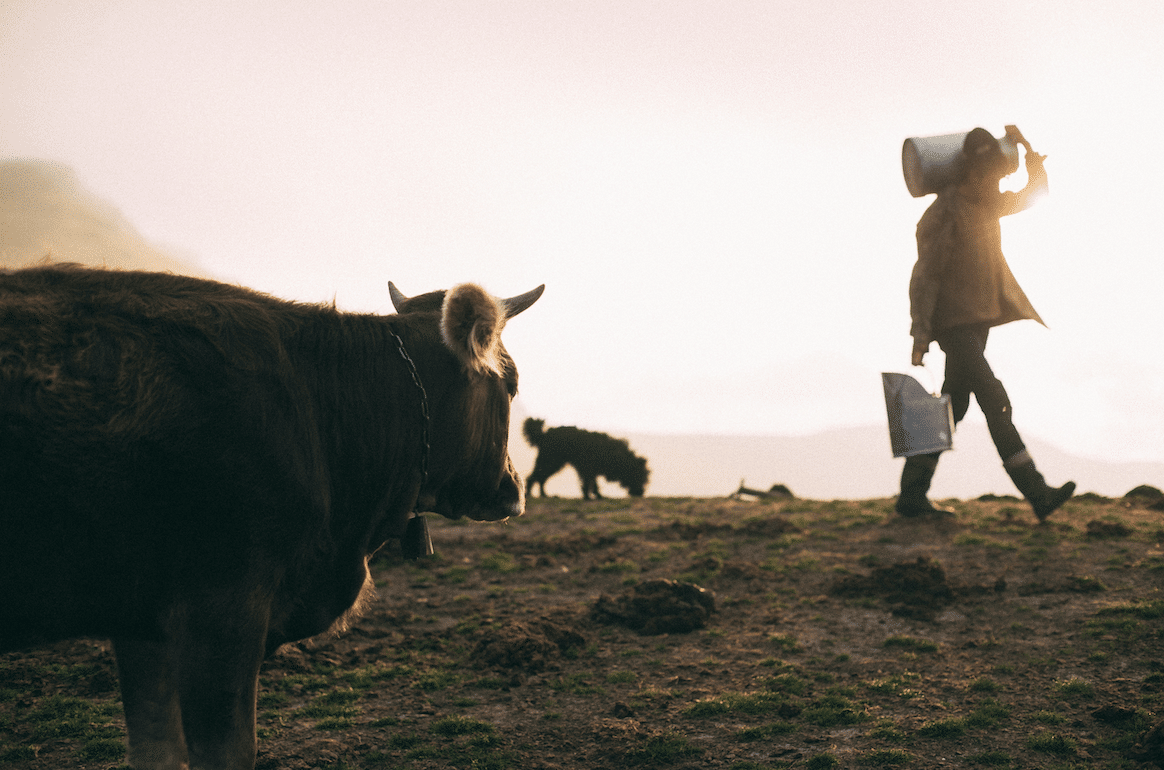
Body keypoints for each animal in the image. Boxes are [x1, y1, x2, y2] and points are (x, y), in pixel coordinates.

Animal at [0, 263, 543, 770]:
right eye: (513, 385)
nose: (513, 486)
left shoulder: (140, 619)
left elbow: (157, 748)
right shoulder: (222, 607)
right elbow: (228, 750)